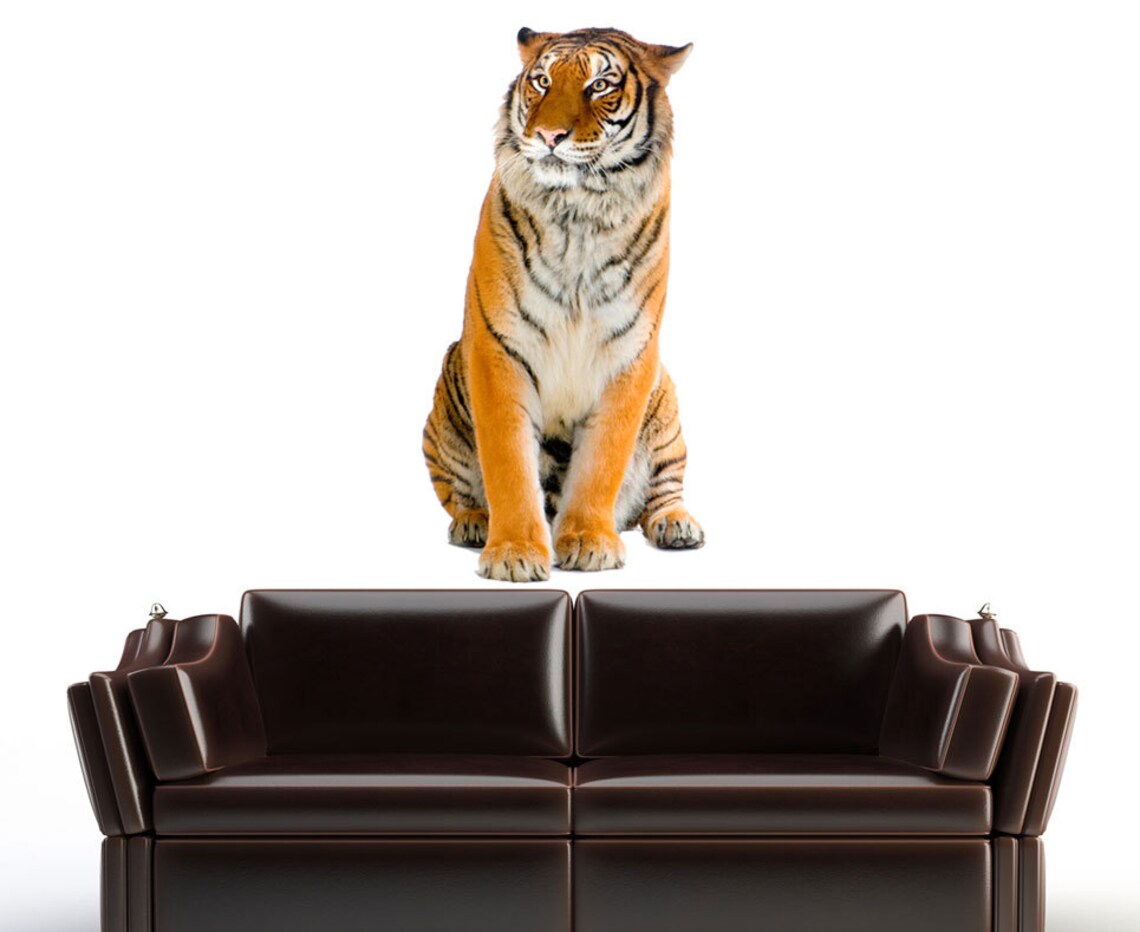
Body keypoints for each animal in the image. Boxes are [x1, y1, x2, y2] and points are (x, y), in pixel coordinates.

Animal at [423, 26, 703, 582]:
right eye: (542, 82)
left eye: (600, 85)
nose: (549, 136)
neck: (578, 212)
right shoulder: (499, 350)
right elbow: (508, 463)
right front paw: (513, 553)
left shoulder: (629, 356)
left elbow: (602, 462)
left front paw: (589, 542)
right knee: (457, 492)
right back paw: (473, 522)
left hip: (666, 409)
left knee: (663, 489)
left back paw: (677, 525)